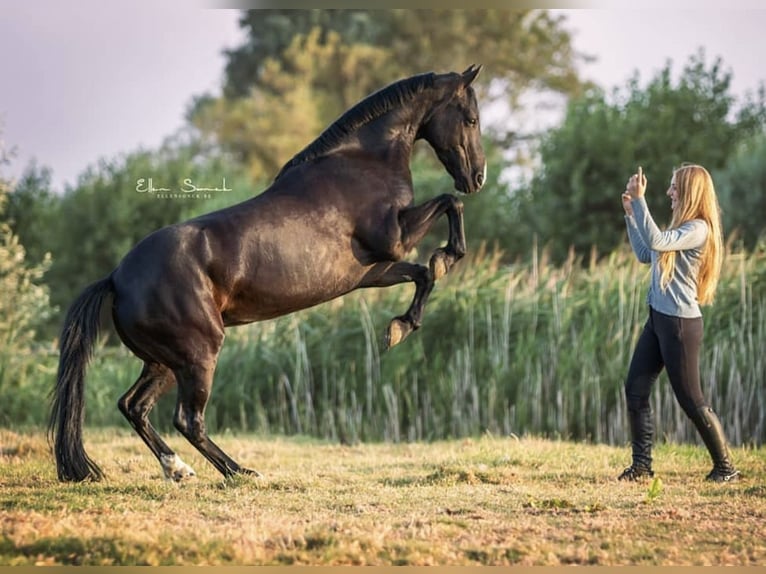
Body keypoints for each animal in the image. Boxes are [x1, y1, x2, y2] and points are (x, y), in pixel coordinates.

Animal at [49, 65, 486, 484]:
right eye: (471, 118)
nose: (477, 178)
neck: (361, 164)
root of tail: (117, 278)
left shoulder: (373, 270)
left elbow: (423, 274)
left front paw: (398, 328)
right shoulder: (393, 239)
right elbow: (450, 204)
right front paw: (447, 257)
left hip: (164, 361)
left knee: (134, 406)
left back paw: (178, 469)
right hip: (199, 354)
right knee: (187, 420)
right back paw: (240, 472)